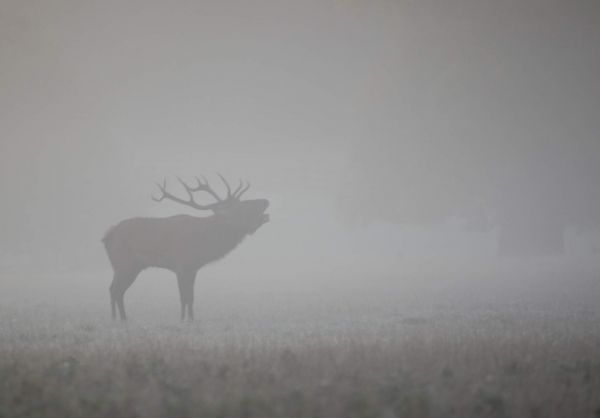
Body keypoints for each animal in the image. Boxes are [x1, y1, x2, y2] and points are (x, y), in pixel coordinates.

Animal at [102, 175, 270, 322]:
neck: (203, 243)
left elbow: (191, 297)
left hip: (133, 267)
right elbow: (184, 296)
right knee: (114, 289)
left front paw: (192, 319)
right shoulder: (181, 266)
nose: (265, 200)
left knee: (118, 290)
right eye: (241, 207)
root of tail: (106, 237)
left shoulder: (193, 268)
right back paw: (115, 319)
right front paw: (183, 320)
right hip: (123, 264)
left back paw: (123, 319)